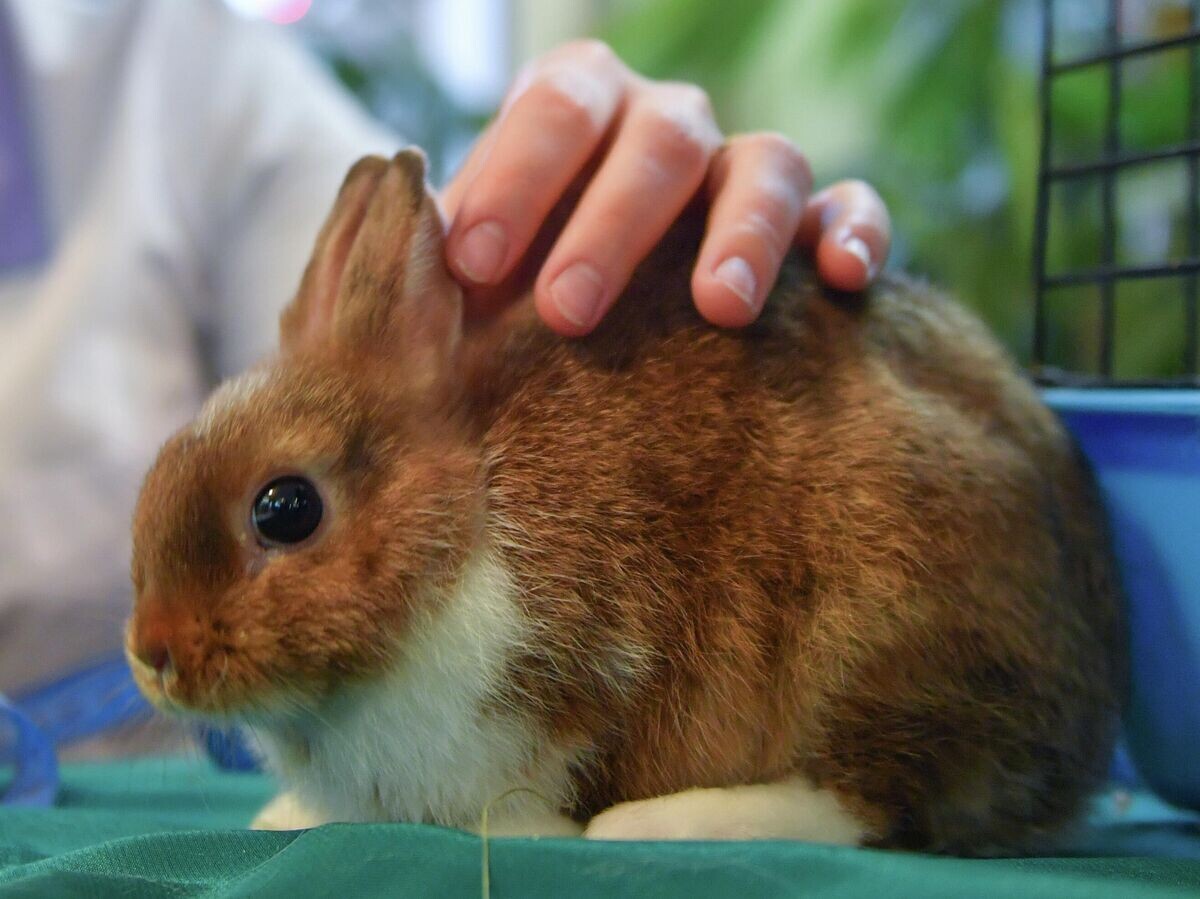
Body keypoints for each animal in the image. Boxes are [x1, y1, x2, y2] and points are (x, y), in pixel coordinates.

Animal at [126, 149, 1125, 854]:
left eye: (285, 509)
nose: (154, 653)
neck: (465, 523)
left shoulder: (580, 676)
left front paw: (532, 829)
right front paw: (284, 814)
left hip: (880, 623)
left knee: (870, 799)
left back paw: (661, 823)